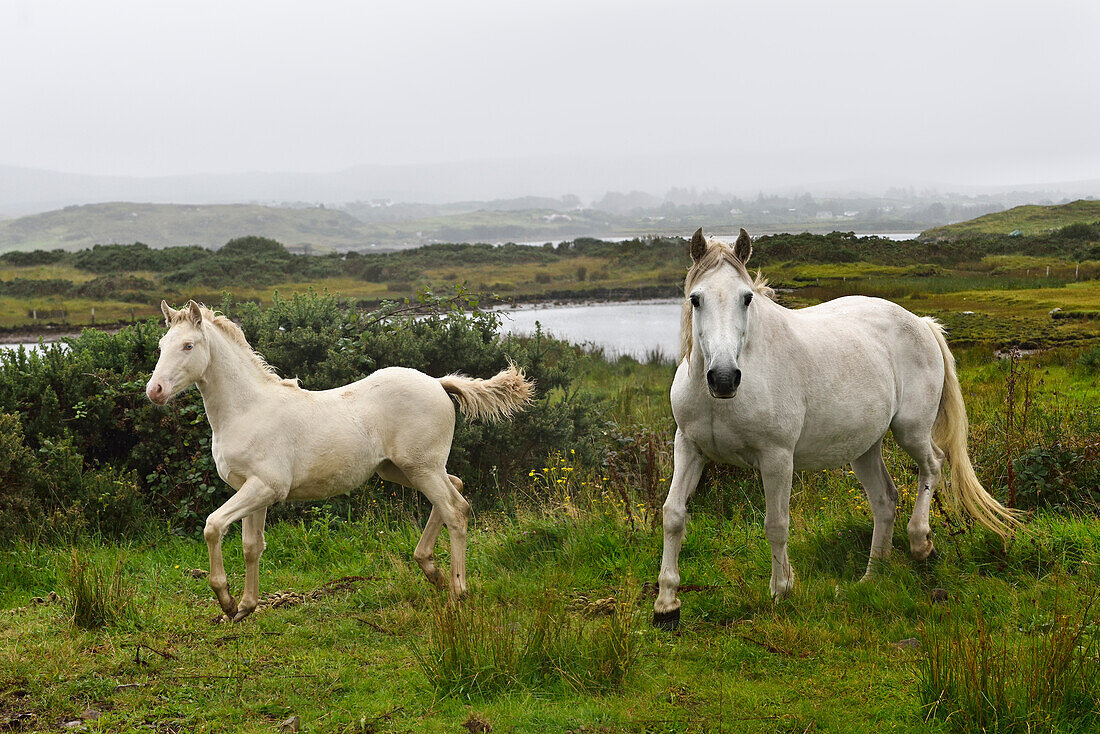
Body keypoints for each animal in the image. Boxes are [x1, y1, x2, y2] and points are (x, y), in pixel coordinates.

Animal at [146, 301, 532, 625]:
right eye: (162, 345)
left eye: (188, 346)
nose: (155, 391)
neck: (247, 409)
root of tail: (438, 383)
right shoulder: (251, 489)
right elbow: (252, 547)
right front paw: (244, 607)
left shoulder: (266, 487)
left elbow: (213, 526)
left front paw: (225, 599)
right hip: (402, 469)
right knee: (457, 489)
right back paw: (431, 569)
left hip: (421, 467)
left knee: (456, 510)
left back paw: (457, 592)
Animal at [651, 231, 1020, 633]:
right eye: (695, 299)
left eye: (746, 298)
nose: (722, 377)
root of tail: (922, 323)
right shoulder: (689, 447)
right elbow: (673, 515)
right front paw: (666, 605)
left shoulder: (776, 457)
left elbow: (776, 524)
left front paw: (782, 590)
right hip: (864, 449)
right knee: (884, 499)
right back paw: (872, 576)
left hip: (911, 430)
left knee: (933, 465)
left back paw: (921, 542)